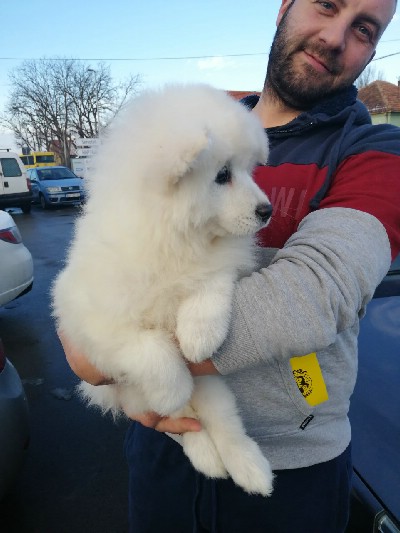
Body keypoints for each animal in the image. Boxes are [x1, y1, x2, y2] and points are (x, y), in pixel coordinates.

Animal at [51, 83, 274, 494]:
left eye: (248, 170)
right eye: (222, 175)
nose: (267, 210)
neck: (176, 240)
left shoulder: (221, 265)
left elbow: (210, 285)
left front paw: (198, 337)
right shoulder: (95, 325)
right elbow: (150, 350)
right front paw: (173, 388)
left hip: (213, 385)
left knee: (226, 424)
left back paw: (250, 469)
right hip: (139, 394)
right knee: (183, 425)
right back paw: (205, 452)